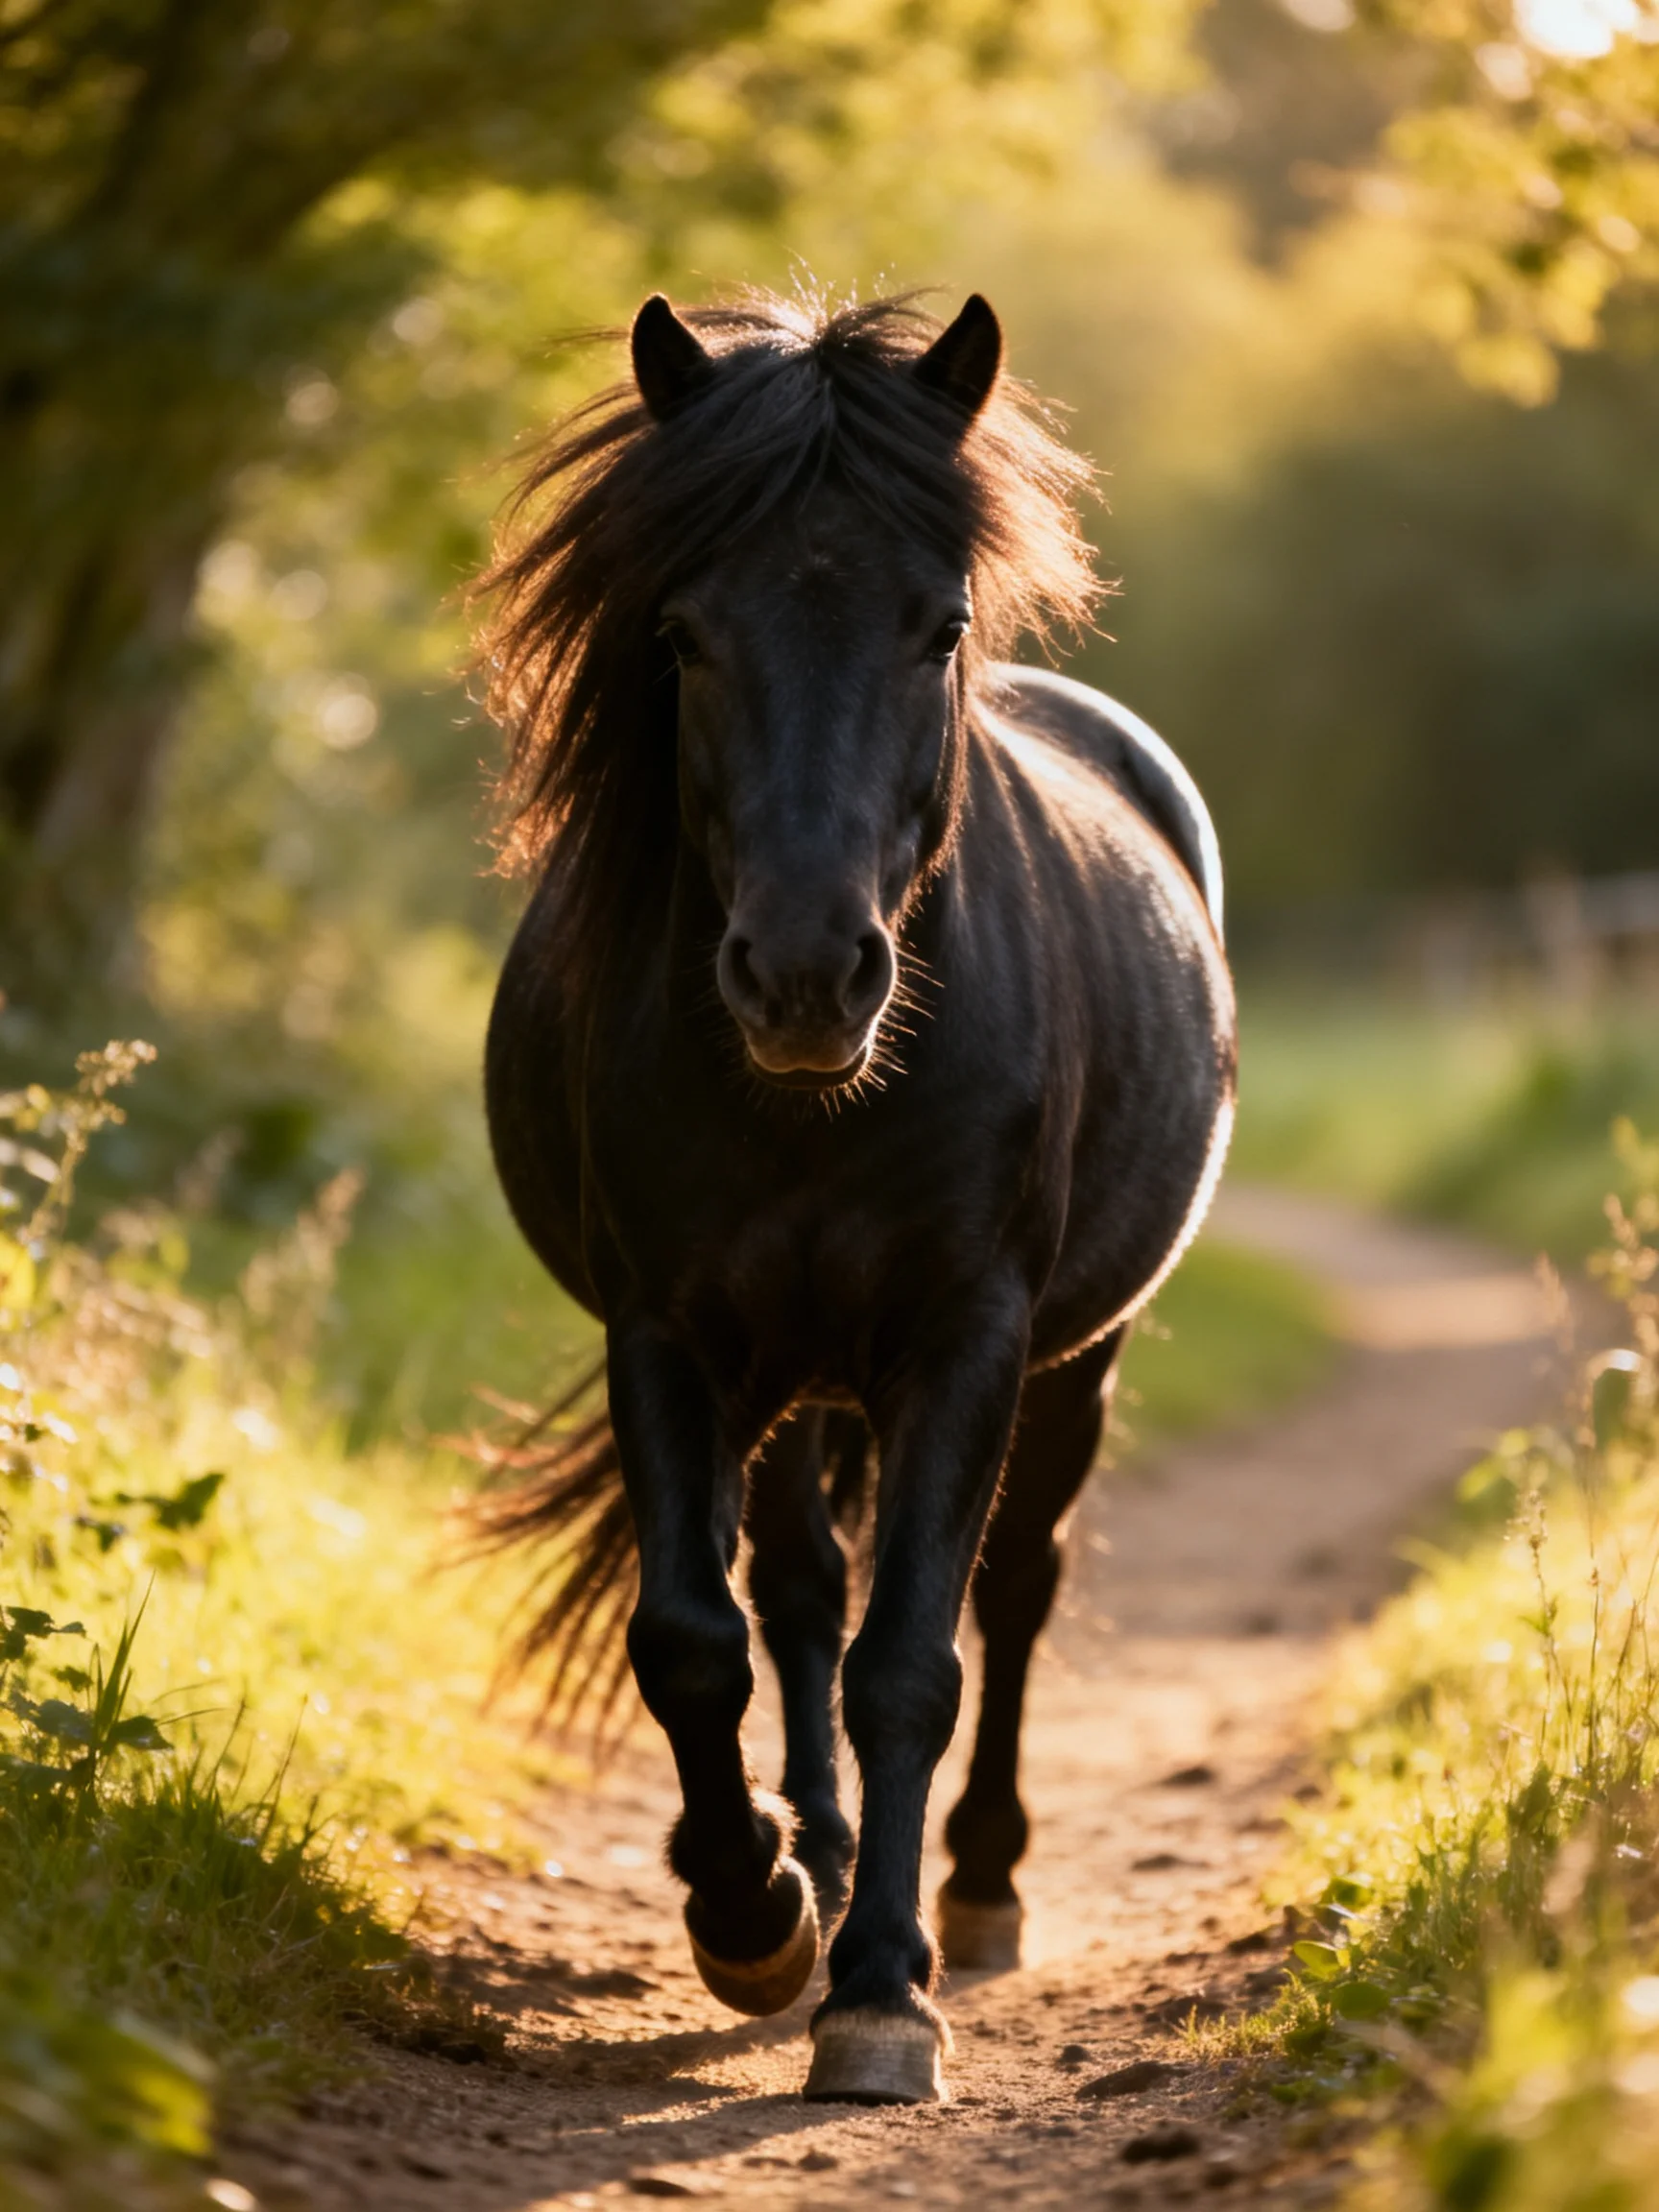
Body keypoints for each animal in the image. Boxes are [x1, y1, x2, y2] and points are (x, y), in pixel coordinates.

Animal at [474, 288, 1235, 2106]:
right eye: (681, 634)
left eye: (935, 624)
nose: (809, 978)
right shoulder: (671, 1334)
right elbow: (699, 1634)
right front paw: (752, 1903)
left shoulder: (967, 1335)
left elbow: (914, 1658)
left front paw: (883, 1988)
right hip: (797, 1371)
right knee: (800, 1590)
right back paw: (809, 1853)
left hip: (1068, 1362)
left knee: (1013, 1583)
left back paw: (979, 1885)